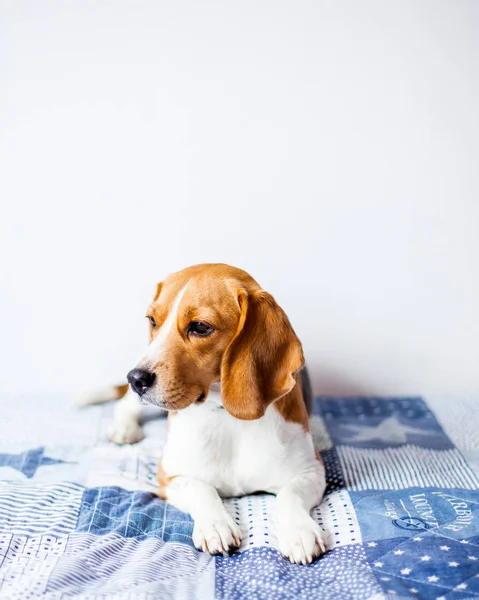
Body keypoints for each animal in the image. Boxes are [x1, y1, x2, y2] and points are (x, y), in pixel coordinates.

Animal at [78, 264, 326, 564]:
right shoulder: (169, 475)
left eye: (200, 327)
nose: (135, 378)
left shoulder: (313, 471)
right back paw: (123, 428)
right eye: (152, 321)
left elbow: (290, 495)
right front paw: (215, 525)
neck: (225, 414)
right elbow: (202, 489)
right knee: (125, 404)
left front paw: (299, 531)